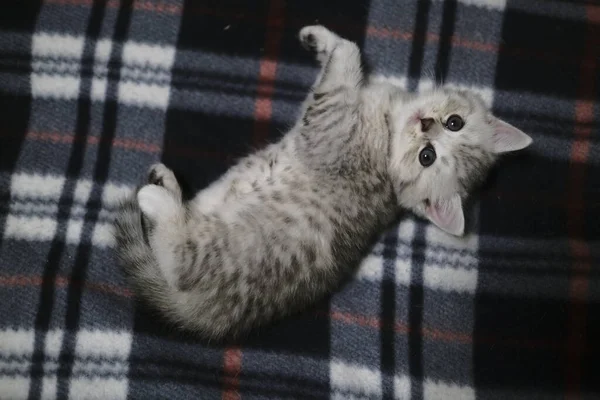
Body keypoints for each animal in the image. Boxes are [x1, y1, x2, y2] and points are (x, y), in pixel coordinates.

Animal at [115, 25, 532, 340]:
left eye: (426, 157)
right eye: (454, 123)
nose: (426, 123)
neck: (388, 125)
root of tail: (209, 316)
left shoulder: (328, 120)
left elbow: (347, 58)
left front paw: (335, 47)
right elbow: (345, 57)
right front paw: (320, 39)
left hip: (211, 255)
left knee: (177, 255)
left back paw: (156, 199)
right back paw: (168, 183)